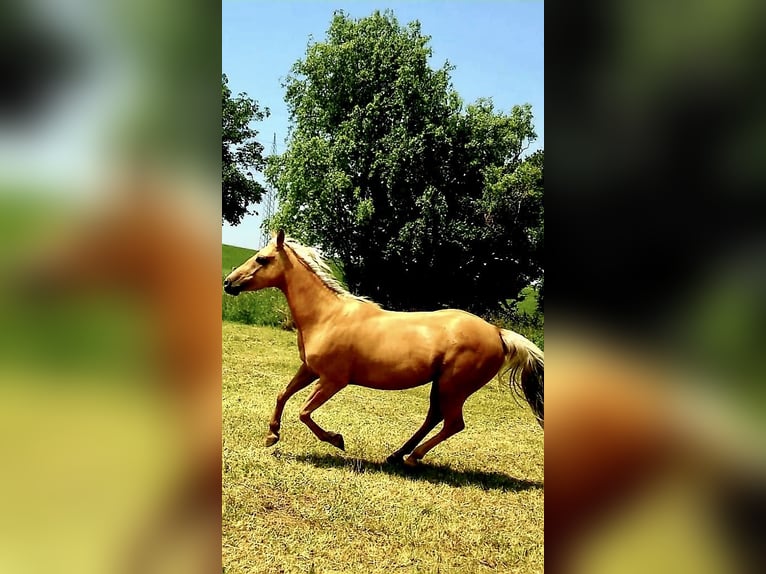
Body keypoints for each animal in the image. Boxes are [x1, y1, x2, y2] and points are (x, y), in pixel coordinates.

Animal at [223, 229, 544, 466]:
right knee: (434, 418)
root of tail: (498, 333)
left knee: (453, 424)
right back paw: (396, 455)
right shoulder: (310, 370)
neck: (328, 316)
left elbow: (304, 412)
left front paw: (337, 440)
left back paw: (413, 458)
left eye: (262, 259)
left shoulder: (333, 380)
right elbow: (282, 394)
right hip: (441, 385)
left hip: (454, 386)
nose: (228, 283)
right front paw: (271, 436)